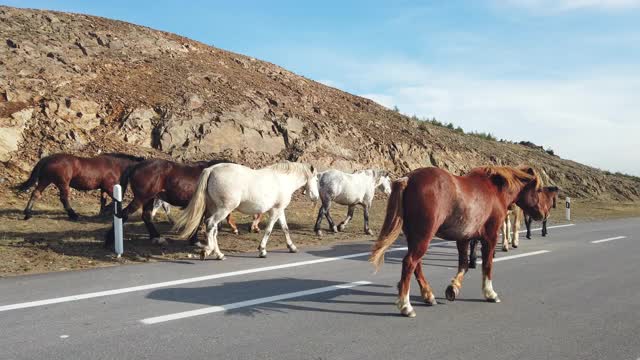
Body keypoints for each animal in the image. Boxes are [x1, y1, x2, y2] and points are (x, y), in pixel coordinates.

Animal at [16, 152, 144, 219]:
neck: (114, 165)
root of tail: (48, 159)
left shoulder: (103, 188)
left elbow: (103, 201)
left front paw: (102, 213)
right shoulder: (108, 187)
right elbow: (116, 200)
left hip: (45, 180)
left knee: (36, 193)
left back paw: (27, 213)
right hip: (63, 183)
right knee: (64, 198)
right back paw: (73, 215)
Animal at [105, 160, 262, 248]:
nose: (254, 228)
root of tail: (136, 165)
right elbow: (199, 222)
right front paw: (196, 241)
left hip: (150, 198)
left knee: (146, 216)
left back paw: (157, 238)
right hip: (142, 197)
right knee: (124, 214)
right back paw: (109, 241)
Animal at [174, 162, 318, 260]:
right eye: (317, 179)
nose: (316, 197)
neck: (283, 179)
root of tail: (211, 169)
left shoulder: (279, 210)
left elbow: (285, 228)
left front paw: (292, 247)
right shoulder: (275, 211)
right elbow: (269, 230)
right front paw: (262, 250)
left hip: (216, 209)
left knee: (213, 229)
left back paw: (218, 254)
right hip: (224, 209)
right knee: (210, 224)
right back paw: (210, 251)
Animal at [370, 166, 544, 318]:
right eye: (539, 190)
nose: (542, 214)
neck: (494, 190)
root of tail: (409, 178)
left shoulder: (464, 238)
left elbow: (464, 265)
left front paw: (453, 288)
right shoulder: (490, 237)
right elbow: (487, 265)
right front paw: (490, 293)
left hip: (414, 237)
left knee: (416, 264)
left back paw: (428, 295)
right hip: (423, 237)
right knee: (410, 262)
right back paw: (406, 306)